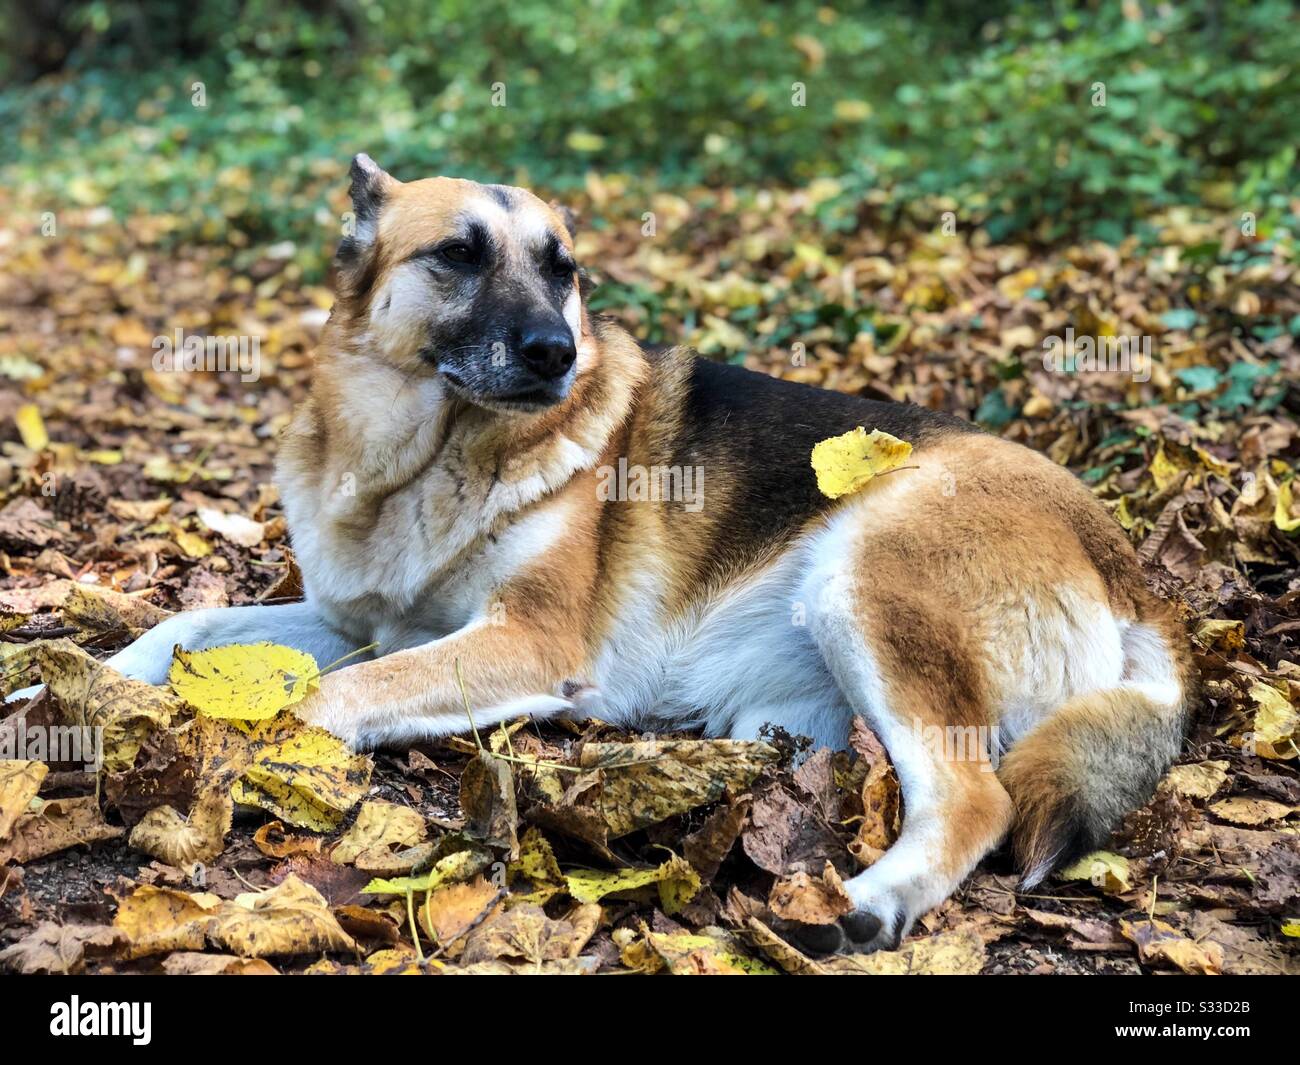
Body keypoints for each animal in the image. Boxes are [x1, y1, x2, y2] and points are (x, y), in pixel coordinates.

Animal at [22, 156, 1196, 957]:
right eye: (457, 255)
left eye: (563, 272)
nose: (556, 353)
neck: (421, 456)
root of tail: (1129, 568)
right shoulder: (356, 617)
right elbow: (185, 627)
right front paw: (52, 699)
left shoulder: (522, 639)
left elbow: (325, 697)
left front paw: (206, 744)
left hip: (863, 570)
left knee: (975, 798)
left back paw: (864, 905)